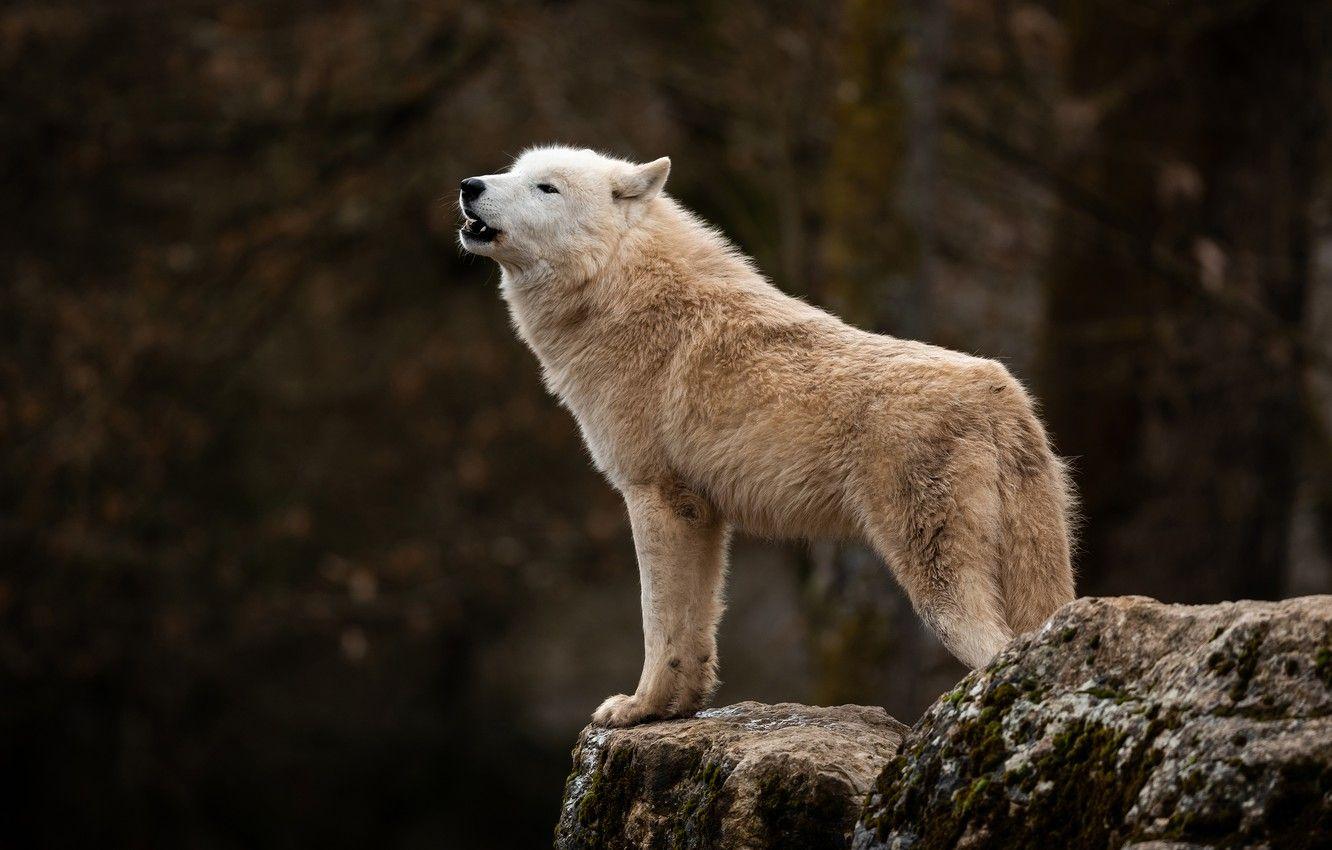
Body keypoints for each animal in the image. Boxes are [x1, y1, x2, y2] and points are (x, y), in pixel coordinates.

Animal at [457, 146, 1076, 727]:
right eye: (513, 171)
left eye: (547, 187)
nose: (468, 185)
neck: (619, 290)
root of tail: (1002, 394)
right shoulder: (702, 514)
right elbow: (696, 630)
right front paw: (676, 710)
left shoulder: (653, 497)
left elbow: (657, 622)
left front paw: (638, 708)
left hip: (936, 588)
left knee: (997, 650)